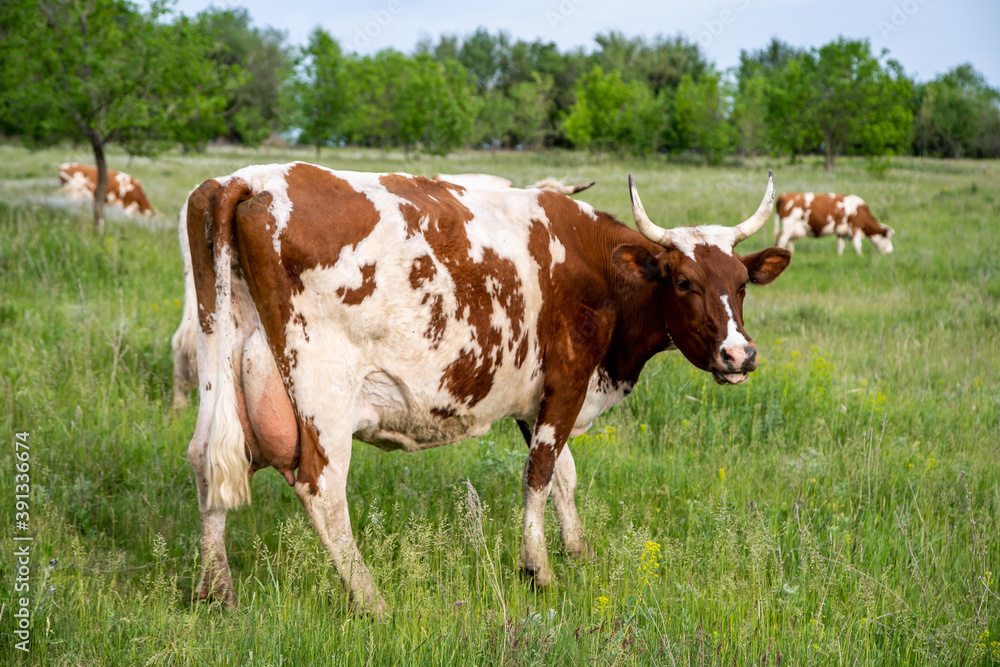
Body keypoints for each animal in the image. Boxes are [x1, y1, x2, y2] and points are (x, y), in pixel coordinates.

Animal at [180, 163, 788, 616]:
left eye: (741, 283)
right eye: (684, 282)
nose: (740, 355)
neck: (595, 262)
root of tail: (245, 180)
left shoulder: (533, 397)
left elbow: (564, 475)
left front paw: (578, 551)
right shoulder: (568, 378)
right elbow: (540, 474)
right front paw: (538, 569)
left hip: (217, 363)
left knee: (207, 459)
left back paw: (216, 590)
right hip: (322, 391)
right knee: (321, 489)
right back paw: (371, 599)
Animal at [772, 194, 900, 258]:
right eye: (887, 237)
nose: (891, 250)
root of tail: (785, 196)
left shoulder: (841, 232)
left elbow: (840, 245)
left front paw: (839, 256)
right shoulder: (855, 228)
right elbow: (857, 245)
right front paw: (861, 256)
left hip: (792, 230)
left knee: (790, 242)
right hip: (787, 227)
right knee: (782, 240)